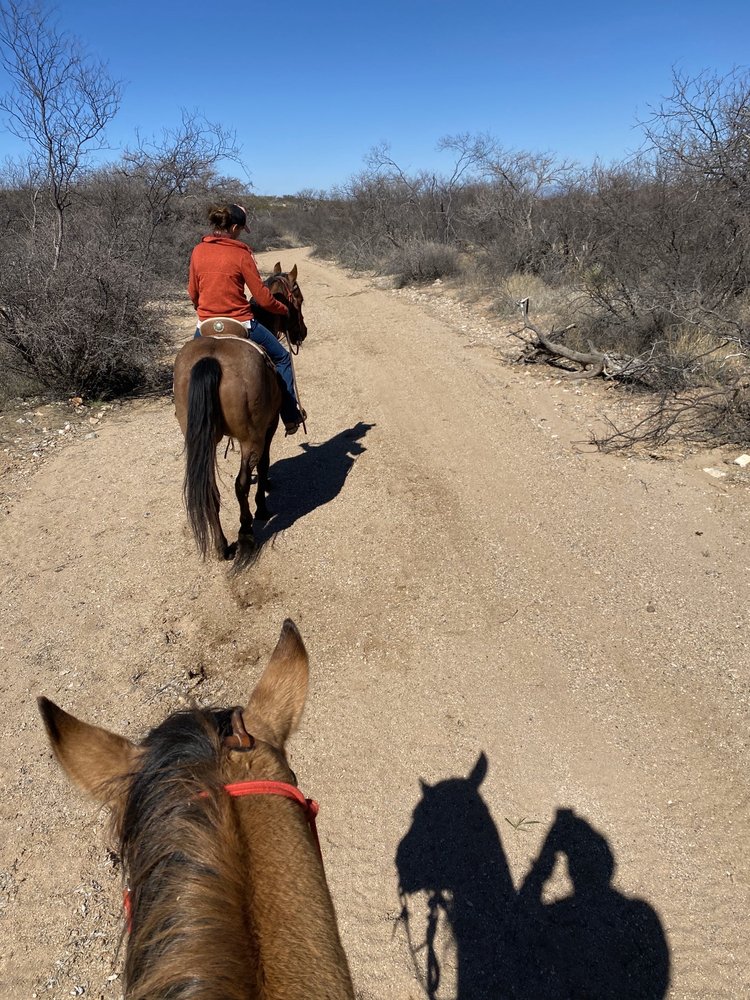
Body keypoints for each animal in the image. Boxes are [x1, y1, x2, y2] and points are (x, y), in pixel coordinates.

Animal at [172, 264, 306, 565]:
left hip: (202, 438)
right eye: (299, 299)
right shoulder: (268, 428)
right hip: (250, 439)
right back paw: (246, 533)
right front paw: (263, 505)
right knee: (240, 484)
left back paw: (222, 546)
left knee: (210, 490)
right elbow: (264, 464)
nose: (302, 332)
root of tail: (211, 358)